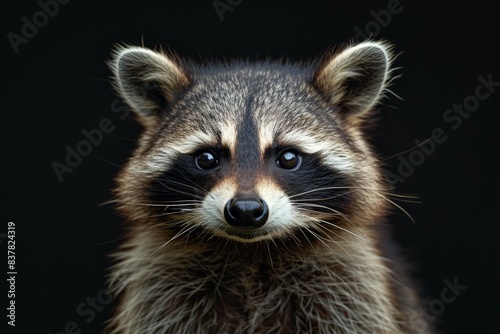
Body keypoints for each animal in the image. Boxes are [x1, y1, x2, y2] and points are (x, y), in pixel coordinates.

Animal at [104, 40, 430, 332]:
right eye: (207, 158)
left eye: (288, 158)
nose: (246, 210)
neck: (253, 252)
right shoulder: (161, 289)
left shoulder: (353, 287)